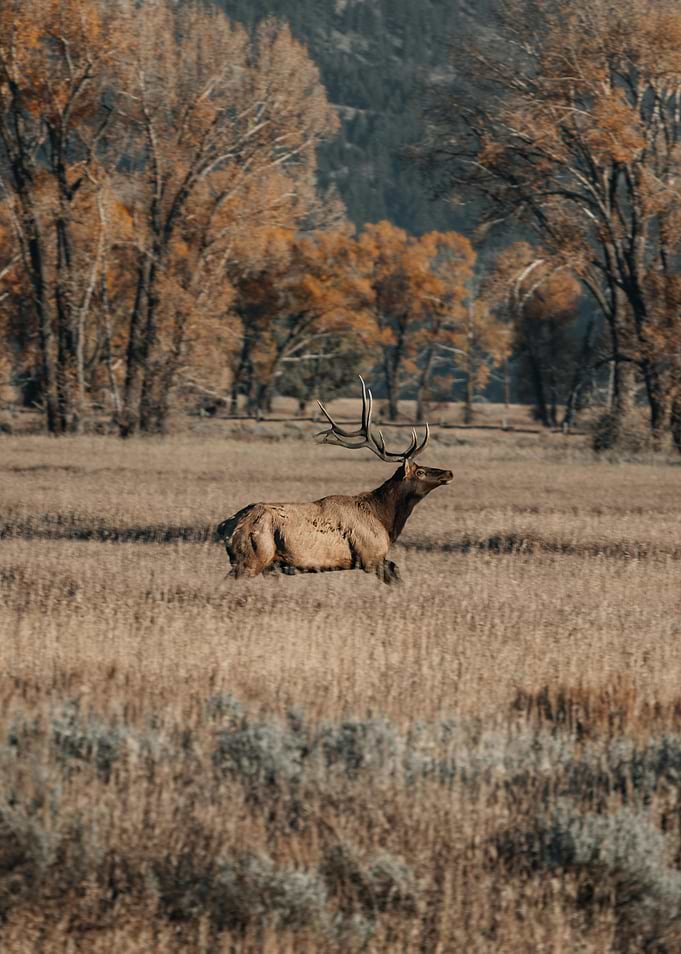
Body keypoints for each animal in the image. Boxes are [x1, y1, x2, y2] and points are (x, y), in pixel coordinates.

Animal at [217, 377, 452, 584]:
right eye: (420, 472)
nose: (448, 472)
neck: (385, 520)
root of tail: (227, 525)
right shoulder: (370, 556)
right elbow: (397, 576)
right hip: (251, 558)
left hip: (267, 564)